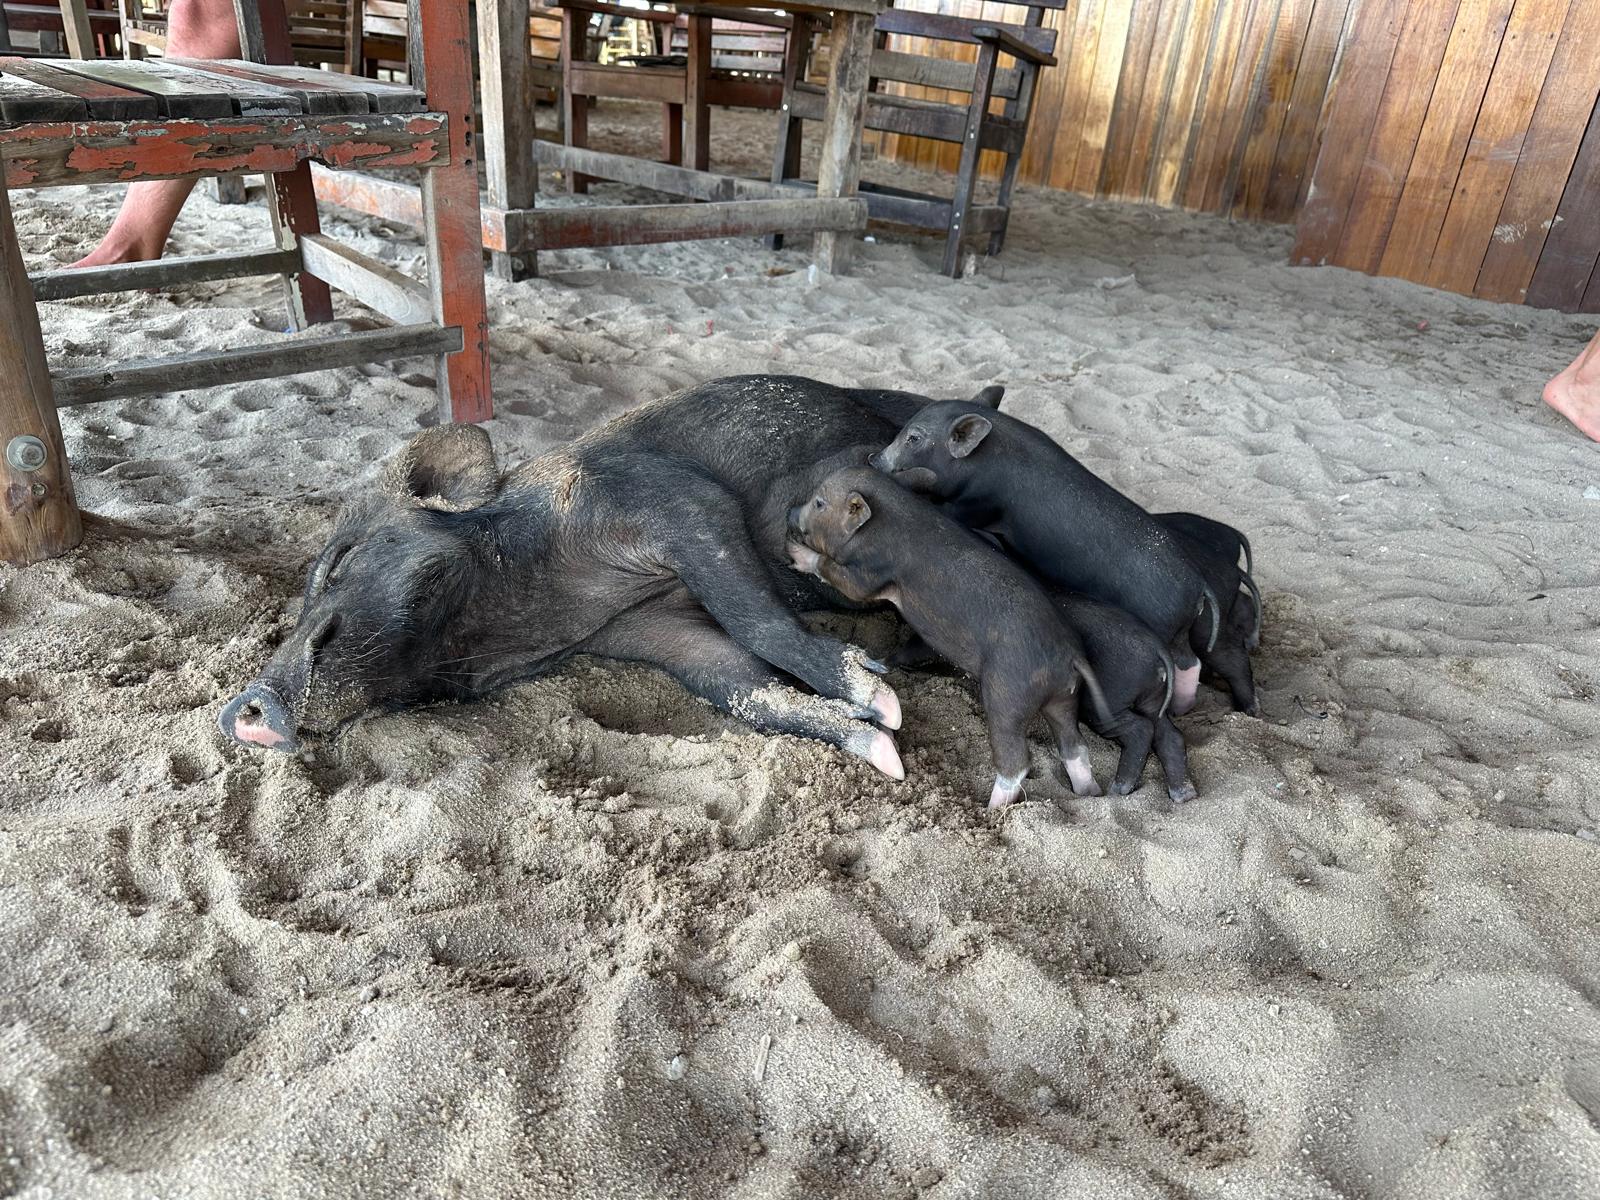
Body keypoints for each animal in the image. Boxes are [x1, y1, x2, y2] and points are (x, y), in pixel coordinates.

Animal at [217, 376, 1010, 777]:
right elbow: (740, 686)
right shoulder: (647, 632)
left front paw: (882, 700)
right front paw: (883, 752)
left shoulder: (675, 503)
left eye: (340, 561)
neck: (549, 610)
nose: (240, 710)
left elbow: (757, 619)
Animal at [786, 466, 1108, 807]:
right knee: (1075, 745)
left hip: (1008, 694)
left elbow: (842, 578)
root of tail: (1070, 656)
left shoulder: (871, 570)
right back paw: (1090, 793)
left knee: (1017, 759)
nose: (790, 513)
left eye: (819, 503)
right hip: (1065, 697)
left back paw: (992, 808)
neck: (885, 516)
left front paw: (795, 554)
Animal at [870, 402, 1221, 715]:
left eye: (914, 438)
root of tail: (1199, 585)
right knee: (1191, 662)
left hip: (1163, 625)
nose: (875, 459)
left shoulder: (976, 502)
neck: (982, 459)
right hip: (1177, 633)